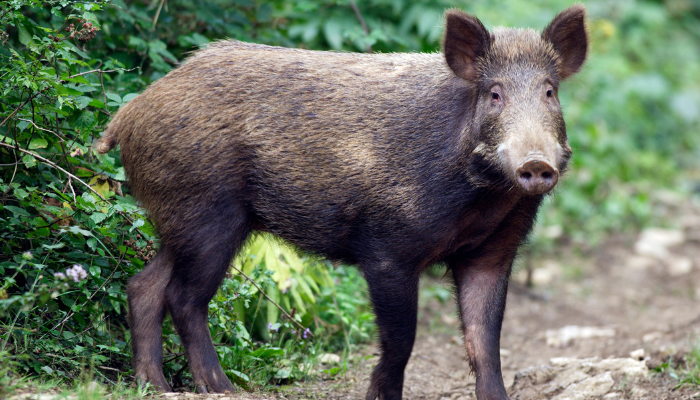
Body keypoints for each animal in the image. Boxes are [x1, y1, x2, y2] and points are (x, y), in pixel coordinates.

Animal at [96, 5, 587, 400]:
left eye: (549, 91)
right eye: (495, 93)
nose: (537, 162)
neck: (483, 201)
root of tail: (128, 114)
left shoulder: (493, 252)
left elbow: (485, 343)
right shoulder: (387, 248)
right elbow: (402, 340)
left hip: (181, 220)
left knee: (144, 286)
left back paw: (154, 386)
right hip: (208, 214)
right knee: (182, 297)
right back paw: (222, 388)